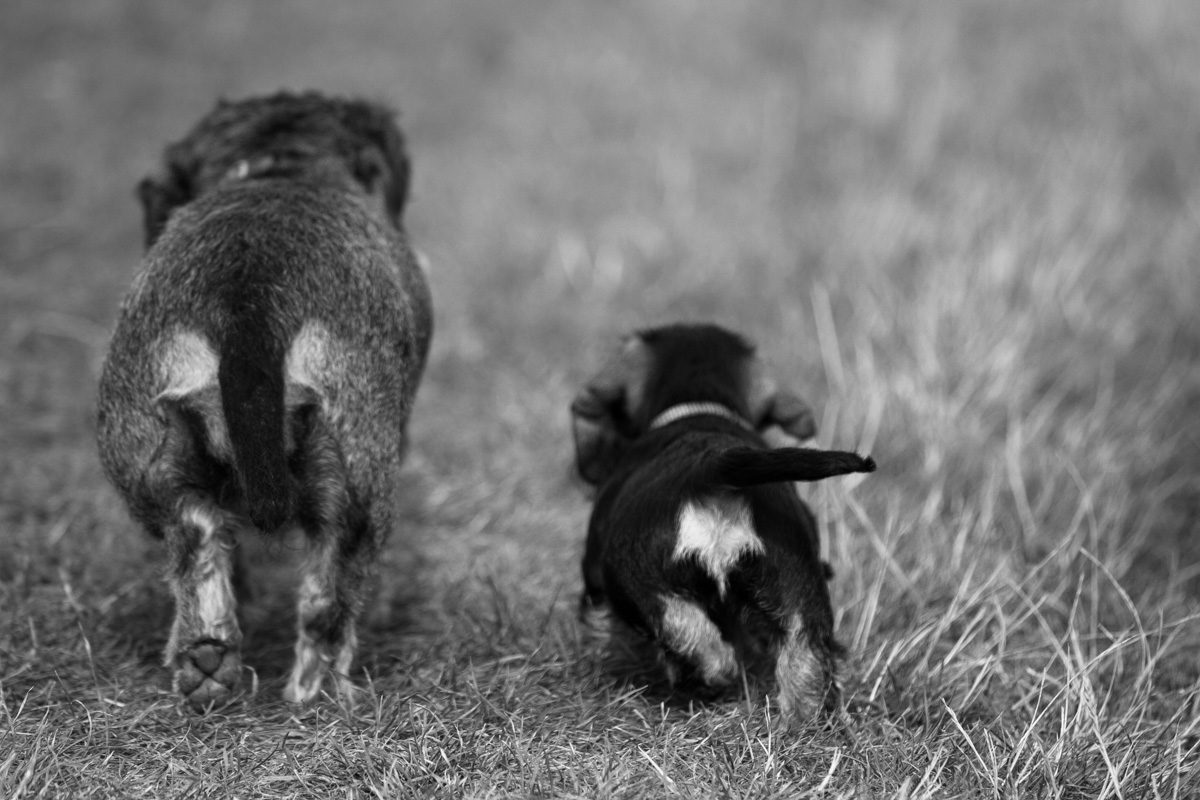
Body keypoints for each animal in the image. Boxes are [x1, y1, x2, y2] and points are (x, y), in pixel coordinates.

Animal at [94, 92, 432, 714]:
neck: (283, 163)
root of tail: (250, 298)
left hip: (152, 453)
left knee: (197, 535)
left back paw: (207, 659)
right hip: (355, 472)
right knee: (328, 597)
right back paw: (318, 692)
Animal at [568, 323, 873, 724]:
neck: (699, 406)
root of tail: (713, 466)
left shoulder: (598, 582)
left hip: (636, 575)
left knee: (689, 632)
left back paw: (705, 676)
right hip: (799, 587)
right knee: (804, 659)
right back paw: (806, 726)